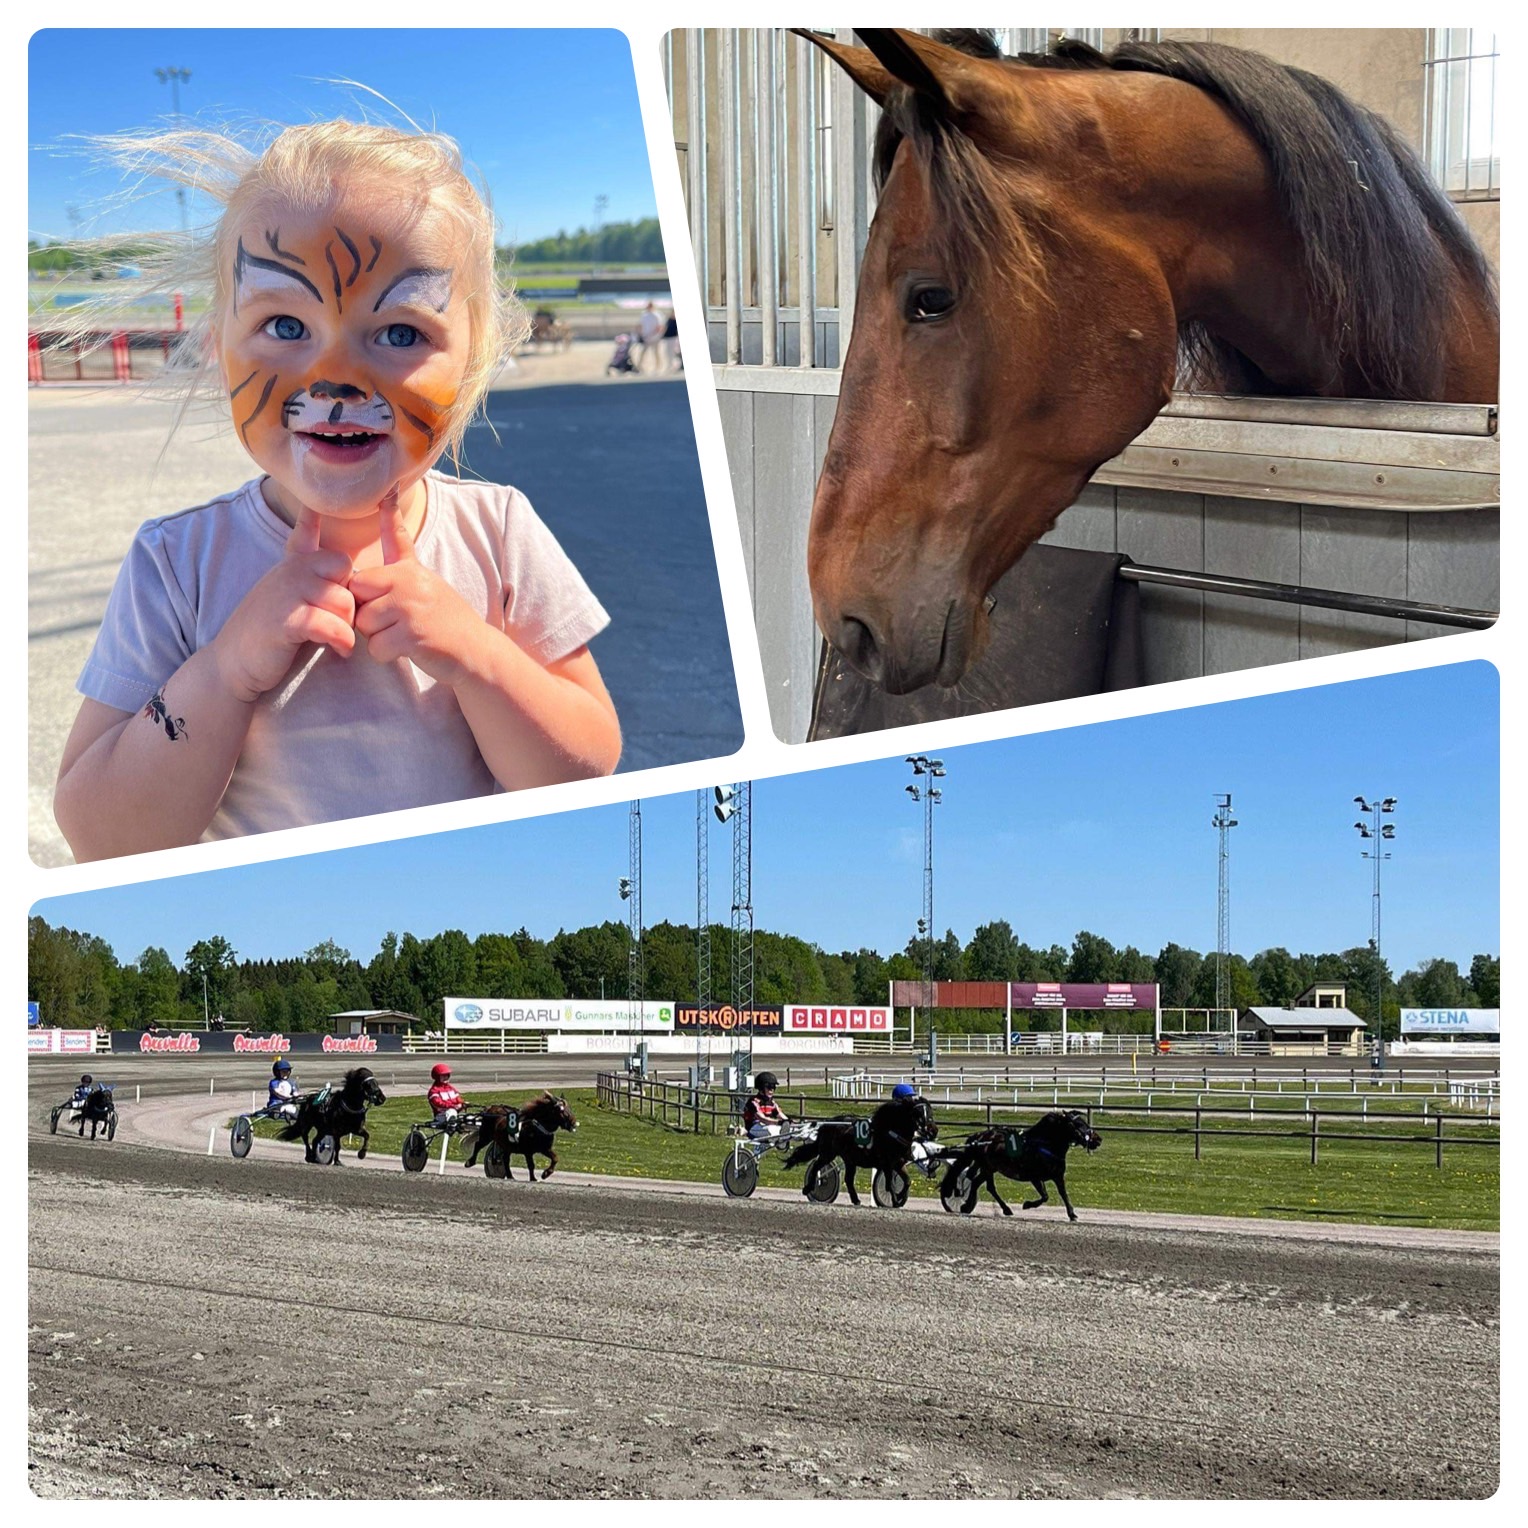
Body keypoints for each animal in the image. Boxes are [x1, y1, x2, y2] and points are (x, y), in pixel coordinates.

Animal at [782, 1100, 935, 1204]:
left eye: (929, 1113)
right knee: (816, 1167)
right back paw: (808, 1188)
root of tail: (826, 1124)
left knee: (848, 1180)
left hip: (849, 1160)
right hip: (828, 1154)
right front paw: (895, 1200)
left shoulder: (899, 1163)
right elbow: (889, 1184)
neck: (892, 1133)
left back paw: (856, 1200)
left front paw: (900, 1197)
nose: (932, 1131)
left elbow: (907, 1181)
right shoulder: (887, 1164)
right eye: (918, 1115)